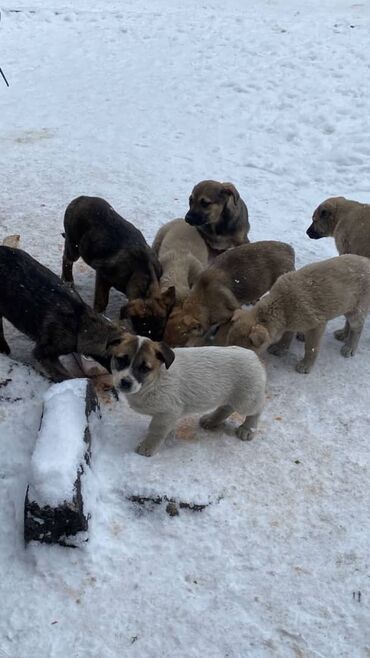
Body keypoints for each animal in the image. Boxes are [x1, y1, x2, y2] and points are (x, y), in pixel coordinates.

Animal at [110, 334, 266, 456]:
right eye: (121, 360)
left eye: (144, 368)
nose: (125, 382)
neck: (155, 380)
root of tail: (253, 356)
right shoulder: (168, 416)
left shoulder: (167, 413)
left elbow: (156, 431)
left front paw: (147, 446)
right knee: (226, 407)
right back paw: (211, 420)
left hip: (246, 400)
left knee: (257, 409)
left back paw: (247, 429)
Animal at [227, 252, 370, 372]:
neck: (281, 304)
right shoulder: (290, 322)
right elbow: (287, 336)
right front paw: (280, 348)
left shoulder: (317, 326)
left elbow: (311, 348)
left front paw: (305, 365)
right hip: (349, 306)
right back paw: (342, 334)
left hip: (358, 309)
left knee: (357, 328)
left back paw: (349, 347)